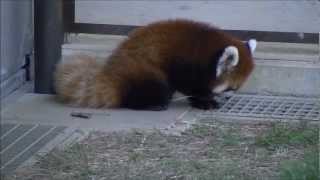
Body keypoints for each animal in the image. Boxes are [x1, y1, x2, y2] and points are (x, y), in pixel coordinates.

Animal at [53, 19, 256, 110]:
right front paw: (204, 100)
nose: (229, 97)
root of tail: (110, 73)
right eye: (231, 88)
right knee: (155, 87)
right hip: (144, 71)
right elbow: (192, 86)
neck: (207, 50)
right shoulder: (185, 64)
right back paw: (153, 104)